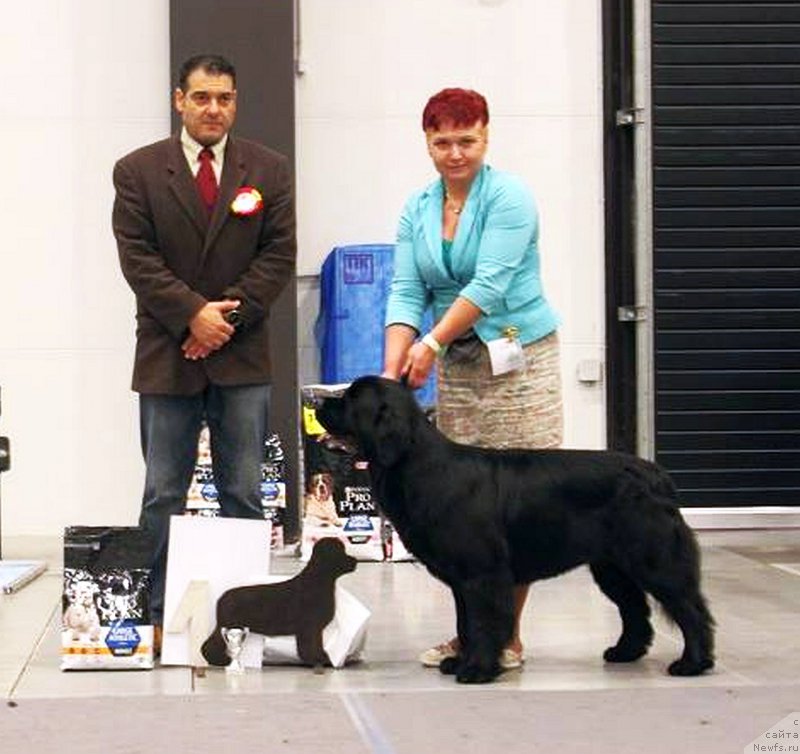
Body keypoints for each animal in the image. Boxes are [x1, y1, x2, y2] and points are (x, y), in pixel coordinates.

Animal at [316, 376, 716, 680]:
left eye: (351, 398)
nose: (318, 401)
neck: (418, 466)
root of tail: (657, 476)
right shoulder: (463, 581)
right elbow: (465, 623)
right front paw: (460, 661)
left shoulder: (483, 574)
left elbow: (484, 622)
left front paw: (477, 669)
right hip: (611, 567)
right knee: (635, 609)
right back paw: (625, 652)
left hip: (654, 560)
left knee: (690, 608)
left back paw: (693, 663)